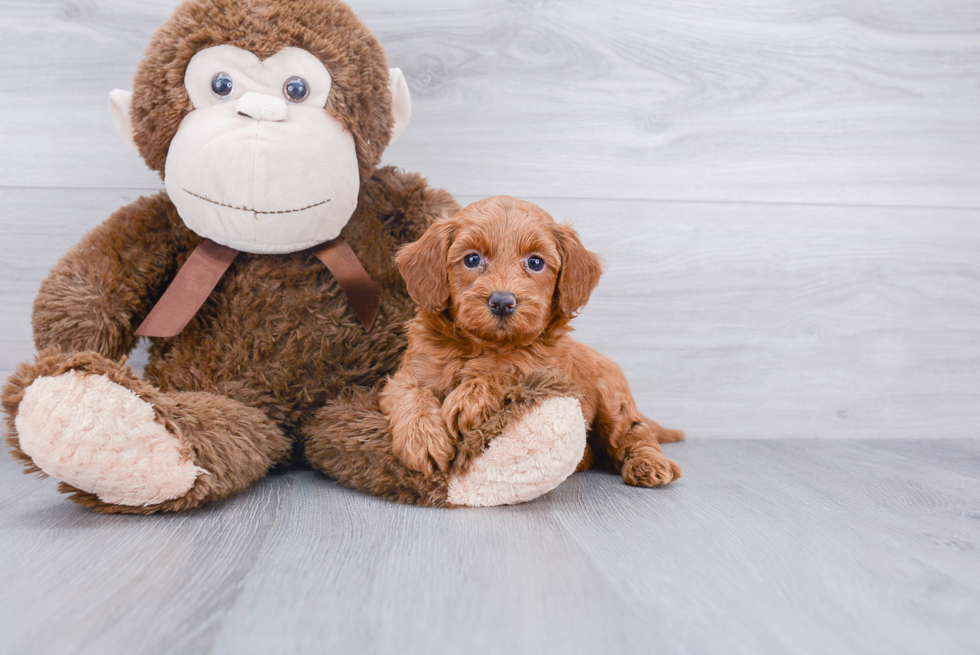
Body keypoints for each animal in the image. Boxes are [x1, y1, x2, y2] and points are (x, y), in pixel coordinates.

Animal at [380, 197, 680, 490]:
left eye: (535, 263)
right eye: (472, 259)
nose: (502, 302)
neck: (484, 344)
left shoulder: (546, 374)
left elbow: (508, 371)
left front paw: (470, 399)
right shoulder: (409, 374)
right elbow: (409, 394)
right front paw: (422, 440)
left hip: (613, 398)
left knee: (634, 432)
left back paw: (649, 463)